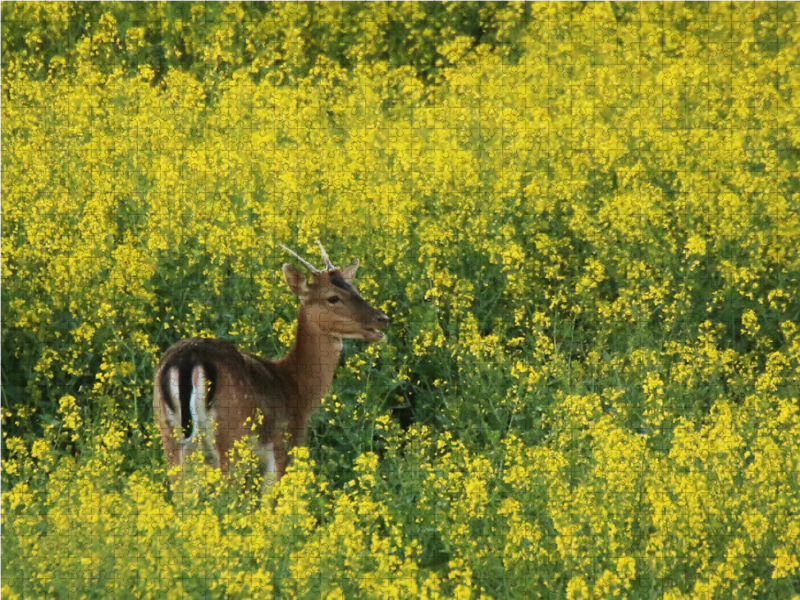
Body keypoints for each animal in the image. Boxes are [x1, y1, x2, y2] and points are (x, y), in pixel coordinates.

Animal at [152, 241, 390, 486]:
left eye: (356, 290)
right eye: (332, 298)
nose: (382, 319)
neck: (295, 388)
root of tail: (187, 361)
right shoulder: (282, 446)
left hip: (168, 430)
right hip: (231, 434)